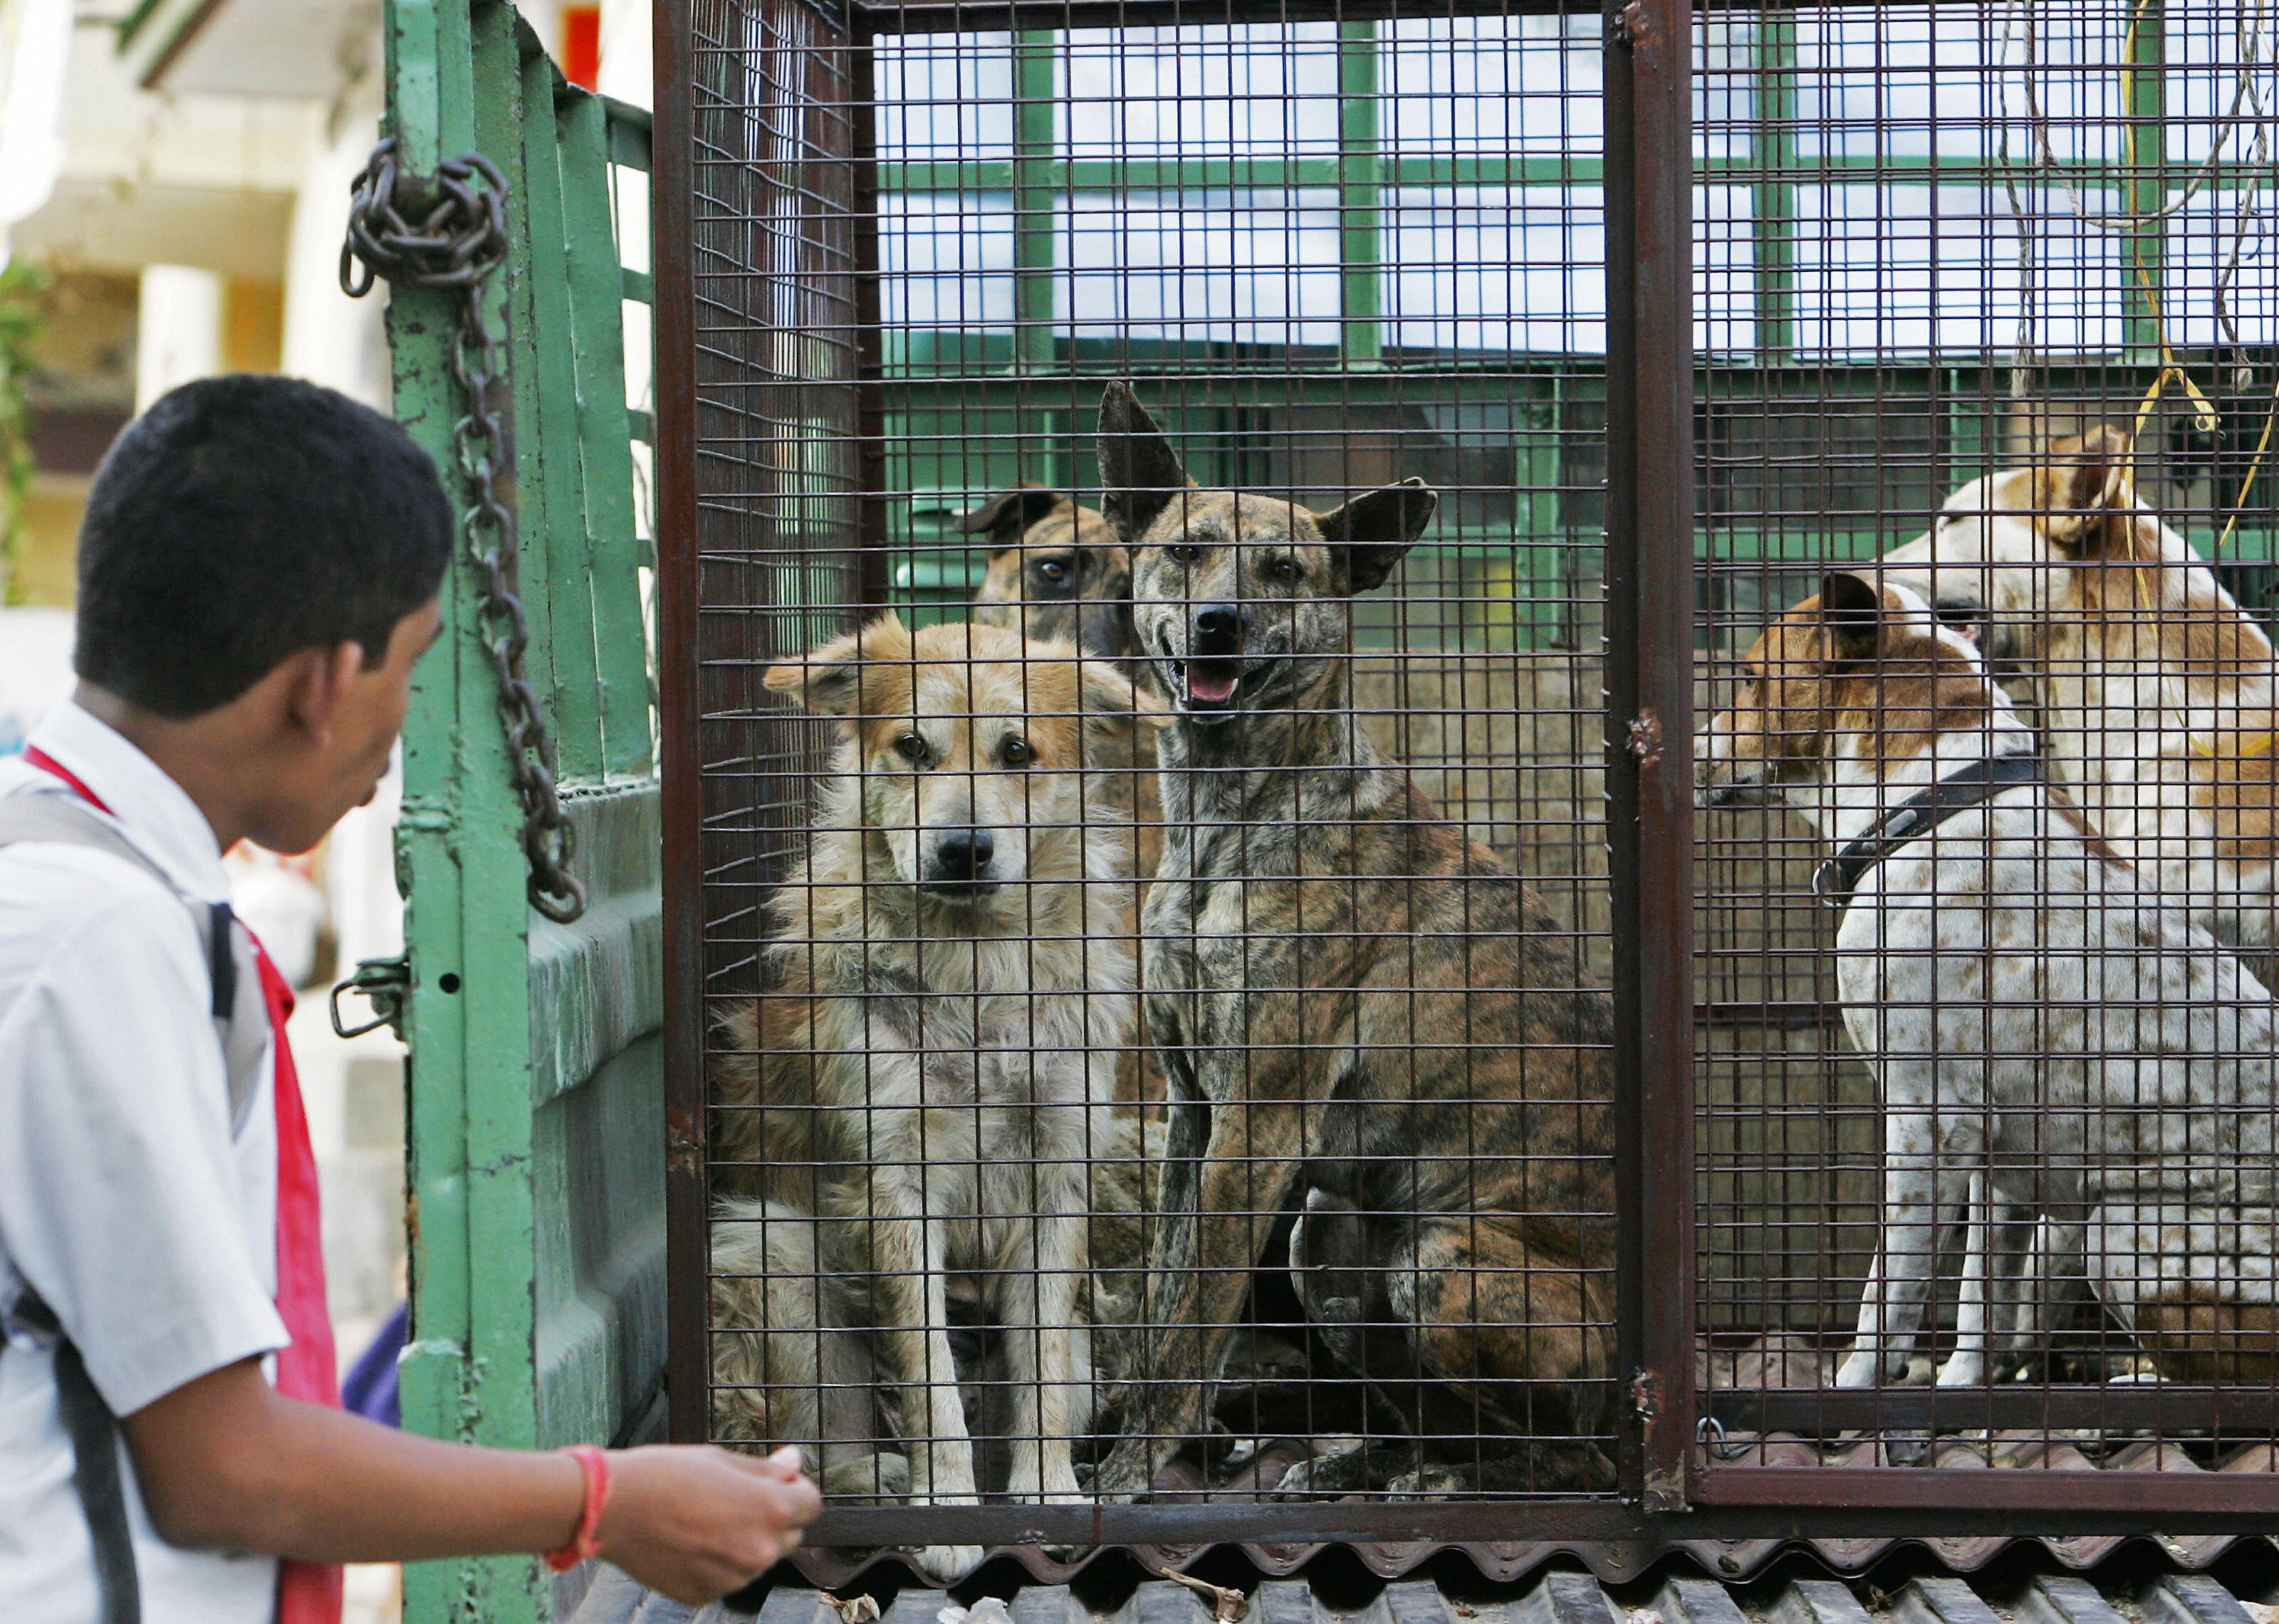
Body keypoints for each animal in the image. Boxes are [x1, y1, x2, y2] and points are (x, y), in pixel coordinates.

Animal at [706, 610, 1176, 1567]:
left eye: (1017, 751)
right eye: (912, 746)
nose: (962, 849)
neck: (975, 962)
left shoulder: (1057, 1173)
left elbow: (1037, 1371)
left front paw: (1045, 1492)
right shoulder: (895, 1183)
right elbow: (930, 1379)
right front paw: (948, 1508)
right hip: (767, 1249)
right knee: (823, 1447)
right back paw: (880, 1477)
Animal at [1085, 380, 1622, 1494]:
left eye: (1284, 571)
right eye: (1186, 551)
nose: (1217, 625)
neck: (1233, 816)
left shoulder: (1260, 1122)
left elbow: (1192, 1322)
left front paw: (1130, 1470)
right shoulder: (1193, 1112)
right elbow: (1162, 1293)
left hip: (1440, 1259)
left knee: (1561, 1458)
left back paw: (1462, 1476)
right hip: (1325, 1236)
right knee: (1428, 1412)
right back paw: (1366, 1463)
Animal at [1704, 574, 2279, 1393]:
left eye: (1751, 676)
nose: (1695, 751)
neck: (1933, 804)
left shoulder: (1927, 1121)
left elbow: (1887, 1295)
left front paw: (1856, 1388)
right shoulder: (1996, 1157)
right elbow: (1982, 1292)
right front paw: (1962, 1378)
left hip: (2117, 1232)